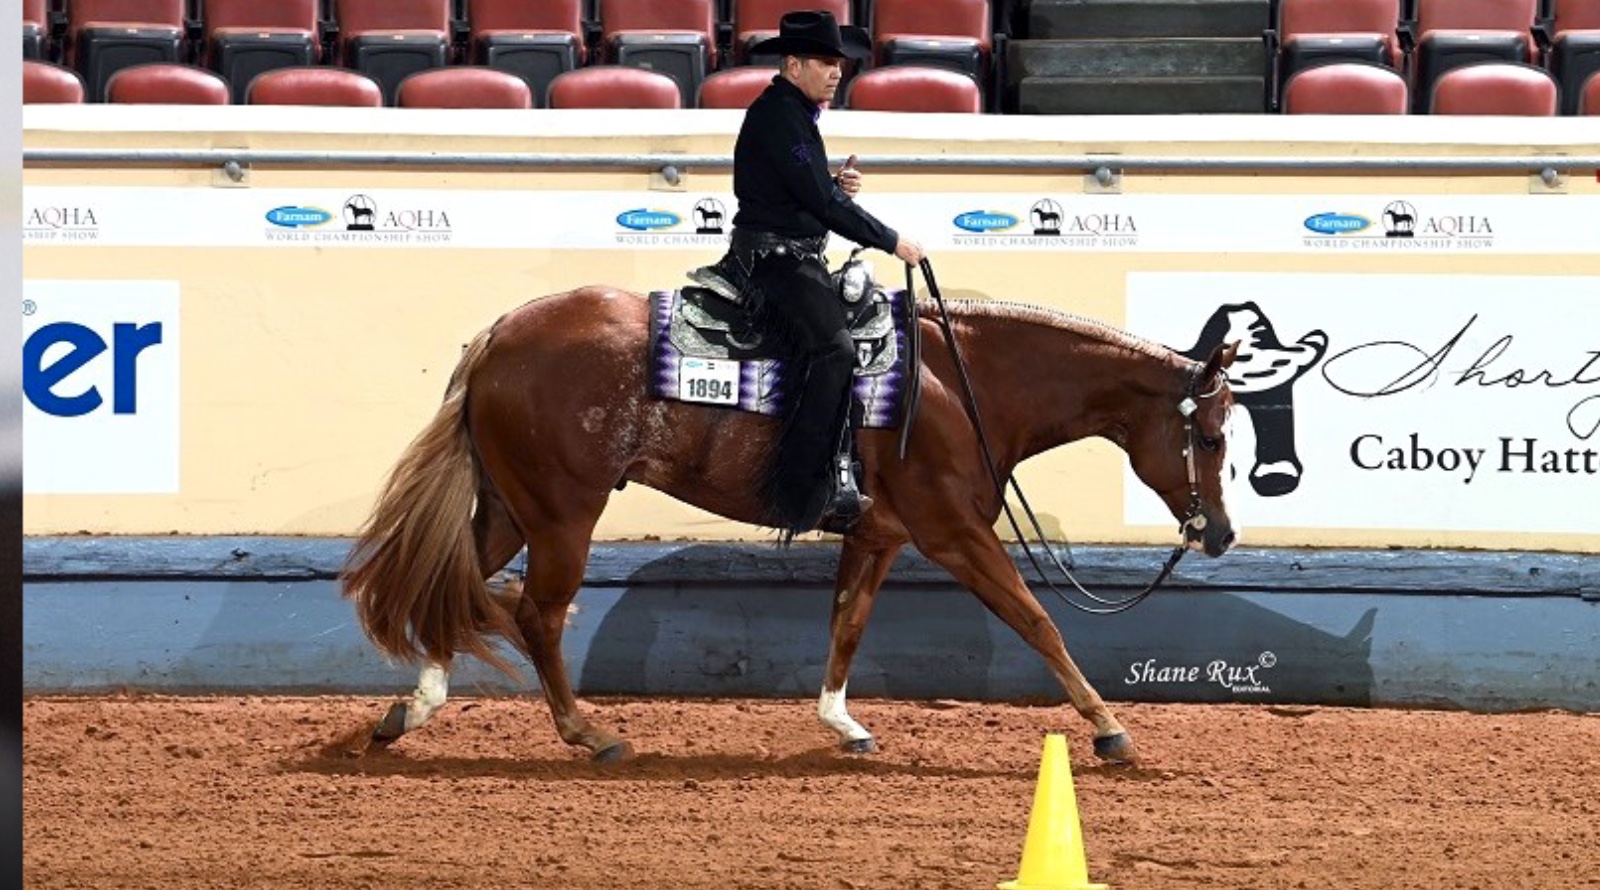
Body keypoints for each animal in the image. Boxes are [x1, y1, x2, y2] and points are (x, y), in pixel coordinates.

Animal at [340, 283, 1235, 765]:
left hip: (511, 506)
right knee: (536, 613)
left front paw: (844, 724)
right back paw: (590, 734)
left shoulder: (879, 536)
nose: (1220, 534)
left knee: (451, 586)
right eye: (1214, 434)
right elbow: (1037, 620)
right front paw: (1111, 729)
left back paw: (410, 712)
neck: (960, 382)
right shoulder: (956, 534)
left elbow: (848, 624)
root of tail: (498, 335)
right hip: (563, 512)